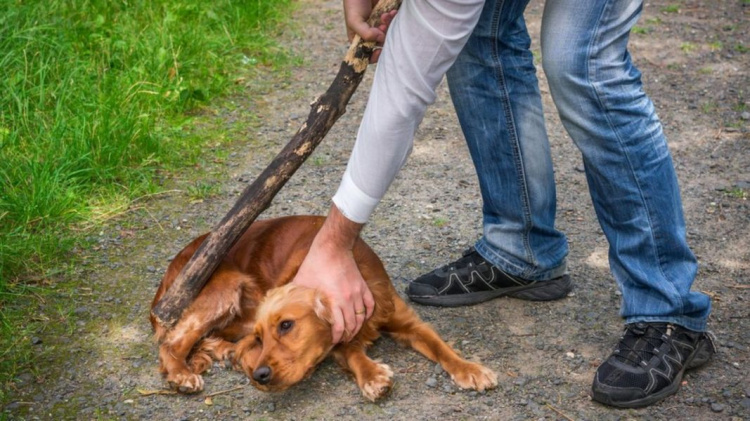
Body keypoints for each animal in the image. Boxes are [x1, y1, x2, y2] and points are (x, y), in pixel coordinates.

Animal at [151, 217, 500, 400]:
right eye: (264, 337)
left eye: (286, 325)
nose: (260, 376)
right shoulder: (339, 339)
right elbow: (353, 354)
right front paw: (373, 375)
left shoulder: (408, 322)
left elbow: (442, 348)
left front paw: (470, 369)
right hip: (225, 288)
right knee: (172, 341)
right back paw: (182, 374)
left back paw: (224, 353)